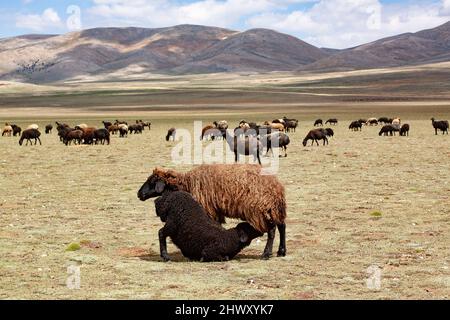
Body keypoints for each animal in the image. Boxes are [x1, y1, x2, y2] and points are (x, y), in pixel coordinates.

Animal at [136, 164, 288, 258]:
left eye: (151, 182)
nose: (139, 194)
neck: (187, 184)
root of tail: (276, 186)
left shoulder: (208, 208)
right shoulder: (215, 210)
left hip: (262, 210)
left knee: (272, 231)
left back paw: (266, 254)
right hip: (274, 210)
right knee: (282, 226)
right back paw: (281, 251)